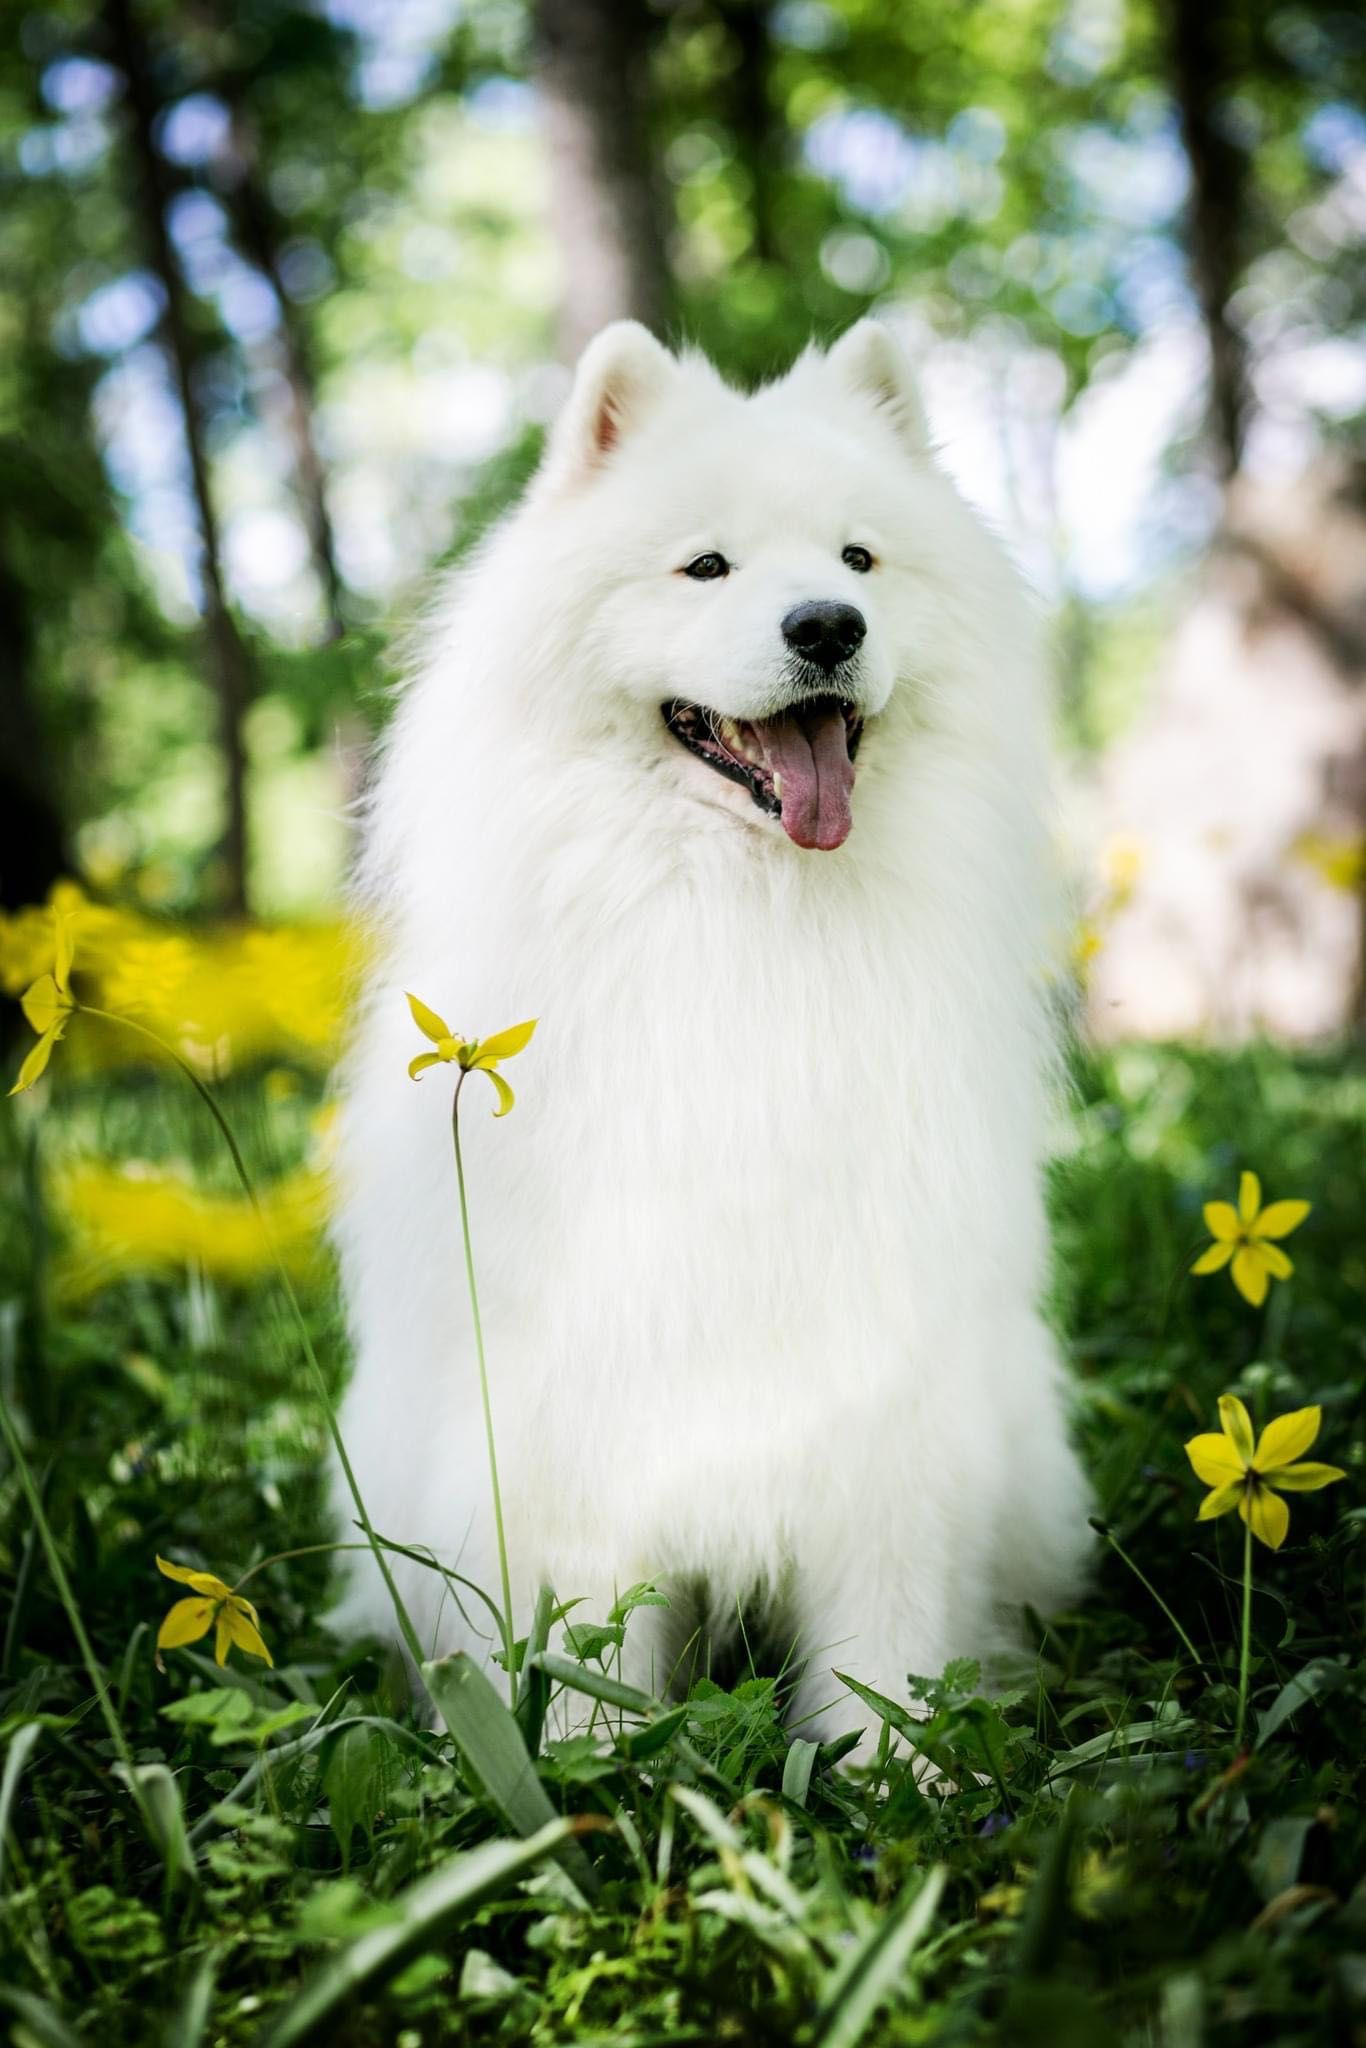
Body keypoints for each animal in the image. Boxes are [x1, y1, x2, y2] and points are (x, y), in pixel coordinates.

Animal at [327, 319, 1089, 1744]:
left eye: (858, 559)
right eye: (706, 566)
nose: (827, 624)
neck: (744, 919)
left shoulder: (884, 1382)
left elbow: (883, 1640)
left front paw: (899, 1774)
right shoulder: (582, 1409)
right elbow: (588, 1646)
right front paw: (587, 1771)